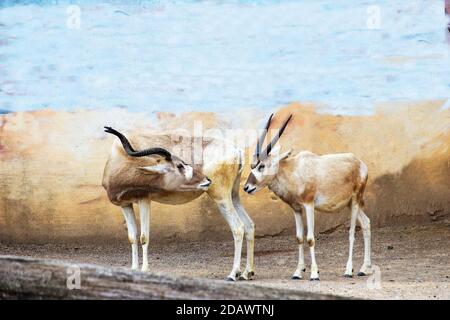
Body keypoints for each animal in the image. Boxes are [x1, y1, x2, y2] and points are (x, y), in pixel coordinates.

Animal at [102, 126, 255, 282]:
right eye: (180, 165)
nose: (206, 179)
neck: (122, 157)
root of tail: (237, 150)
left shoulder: (144, 200)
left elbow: (144, 237)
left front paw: (144, 270)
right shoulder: (125, 204)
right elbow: (132, 237)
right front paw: (133, 269)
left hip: (221, 197)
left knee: (238, 227)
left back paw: (233, 274)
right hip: (233, 196)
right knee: (248, 225)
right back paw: (246, 273)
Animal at [244, 114, 370, 280]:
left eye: (261, 166)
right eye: (253, 166)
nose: (247, 187)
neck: (294, 171)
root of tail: (360, 164)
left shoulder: (309, 205)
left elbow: (310, 238)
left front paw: (314, 274)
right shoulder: (296, 209)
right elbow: (299, 237)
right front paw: (297, 272)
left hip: (355, 201)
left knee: (352, 233)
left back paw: (349, 271)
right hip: (349, 203)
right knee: (366, 223)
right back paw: (364, 269)